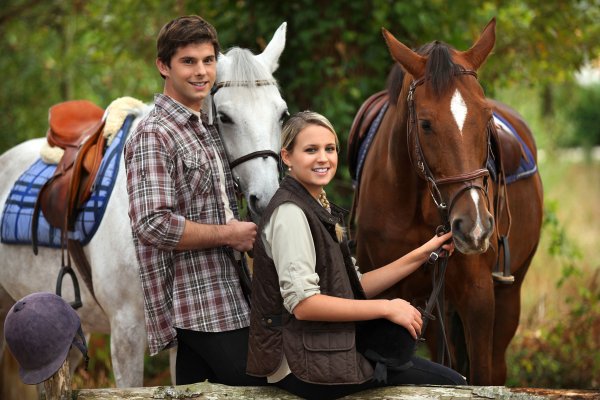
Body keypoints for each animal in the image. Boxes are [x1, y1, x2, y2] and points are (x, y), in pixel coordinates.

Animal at [352, 18, 544, 384]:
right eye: (426, 124)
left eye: (486, 119)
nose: (475, 228)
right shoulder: (386, 294)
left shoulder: (478, 297)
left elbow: (480, 375)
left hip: (508, 294)